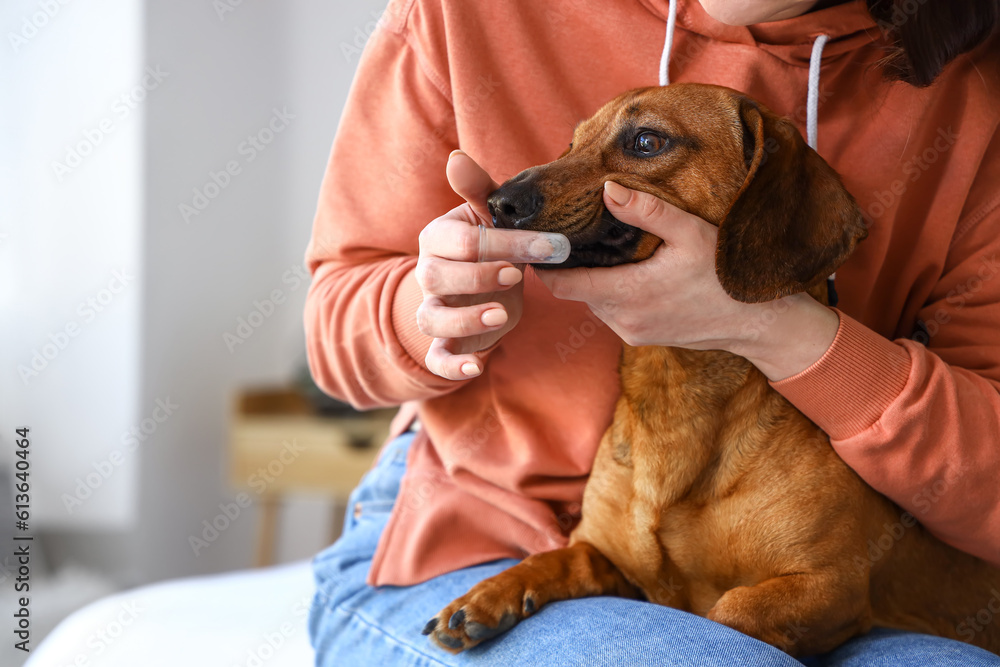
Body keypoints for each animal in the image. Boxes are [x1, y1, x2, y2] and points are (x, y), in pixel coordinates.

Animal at [420, 83, 1000, 656]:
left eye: (646, 141)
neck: (672, 391)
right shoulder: (612, 560)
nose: (497, 201)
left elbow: (730, 613)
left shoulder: (829, 589)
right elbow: (563, 557)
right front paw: (492, 592)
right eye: (571, 144)